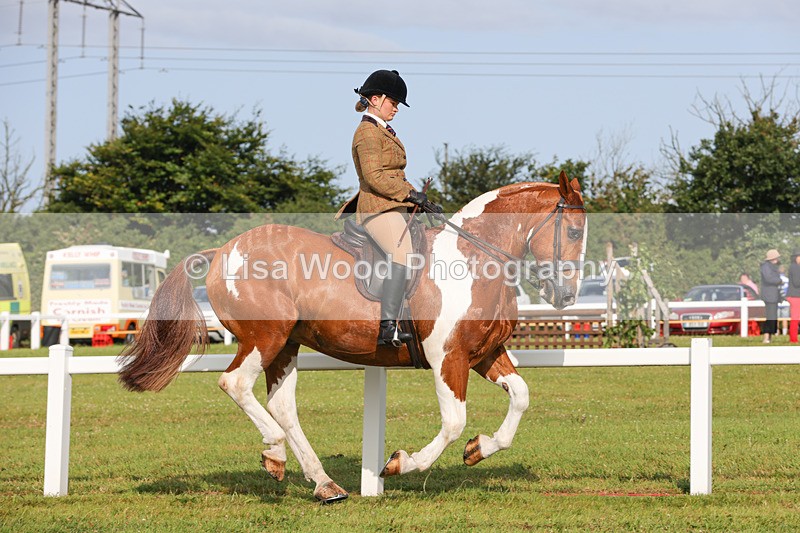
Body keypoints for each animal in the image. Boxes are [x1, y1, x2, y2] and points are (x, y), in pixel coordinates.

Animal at [118, 171, 587, 503]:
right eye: (575, 232)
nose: (565, 296)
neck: (474, 259)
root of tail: (223, 251)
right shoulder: (447, 357)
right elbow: (454, 422)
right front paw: (400, 464)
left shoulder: (484, 353)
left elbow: (520, 396)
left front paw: (479, 449)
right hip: (264, 338)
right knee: (235, 384)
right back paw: (275, 453)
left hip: (286, 344)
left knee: (282, 405)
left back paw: (324, 484)